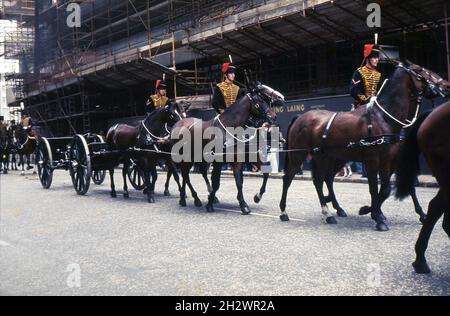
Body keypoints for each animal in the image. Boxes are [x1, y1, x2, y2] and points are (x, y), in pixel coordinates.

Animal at [170, 81, 280, 215]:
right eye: (259, 100)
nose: (273, 117)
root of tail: (178, 124)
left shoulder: (241, 160)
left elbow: (241, 181)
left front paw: (245, 203)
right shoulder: (219, 162)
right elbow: (216, 182)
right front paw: (210, 204)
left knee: (194, 174)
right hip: (185, 159)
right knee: (186, 175)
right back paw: (193, 198)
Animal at [280, 59, 448, 232]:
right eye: (420, 70)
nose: (446, 85)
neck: (384, 118)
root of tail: (300, 117)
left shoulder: (388, 160)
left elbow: (386, 188)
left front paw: (374, 211)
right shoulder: (372, 159)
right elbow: (375, 188)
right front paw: (377, 216)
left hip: (328, 157)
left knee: (323, 180)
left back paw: (332, 211)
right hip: (299, 154)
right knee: (290, 178)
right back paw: (286, 212)